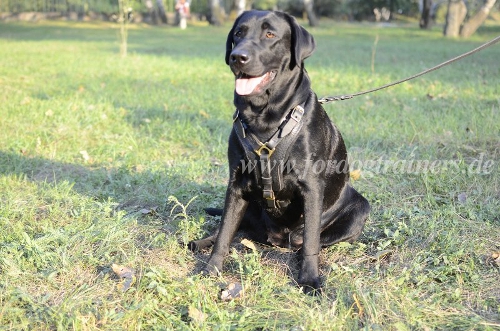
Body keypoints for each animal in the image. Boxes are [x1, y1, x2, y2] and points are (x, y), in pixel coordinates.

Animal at [189, 9, 370, 294]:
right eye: (239, 33)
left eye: (270, 34)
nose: (237, 56)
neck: (265, 117)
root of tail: (277, 239)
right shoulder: (236, 185)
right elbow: (226, 229)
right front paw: (211, 268)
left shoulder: (311, 187)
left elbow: (311, 241)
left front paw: (309, 279)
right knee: (235, 229)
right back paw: (201, 242)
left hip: (360, 208)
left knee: (309, 241)